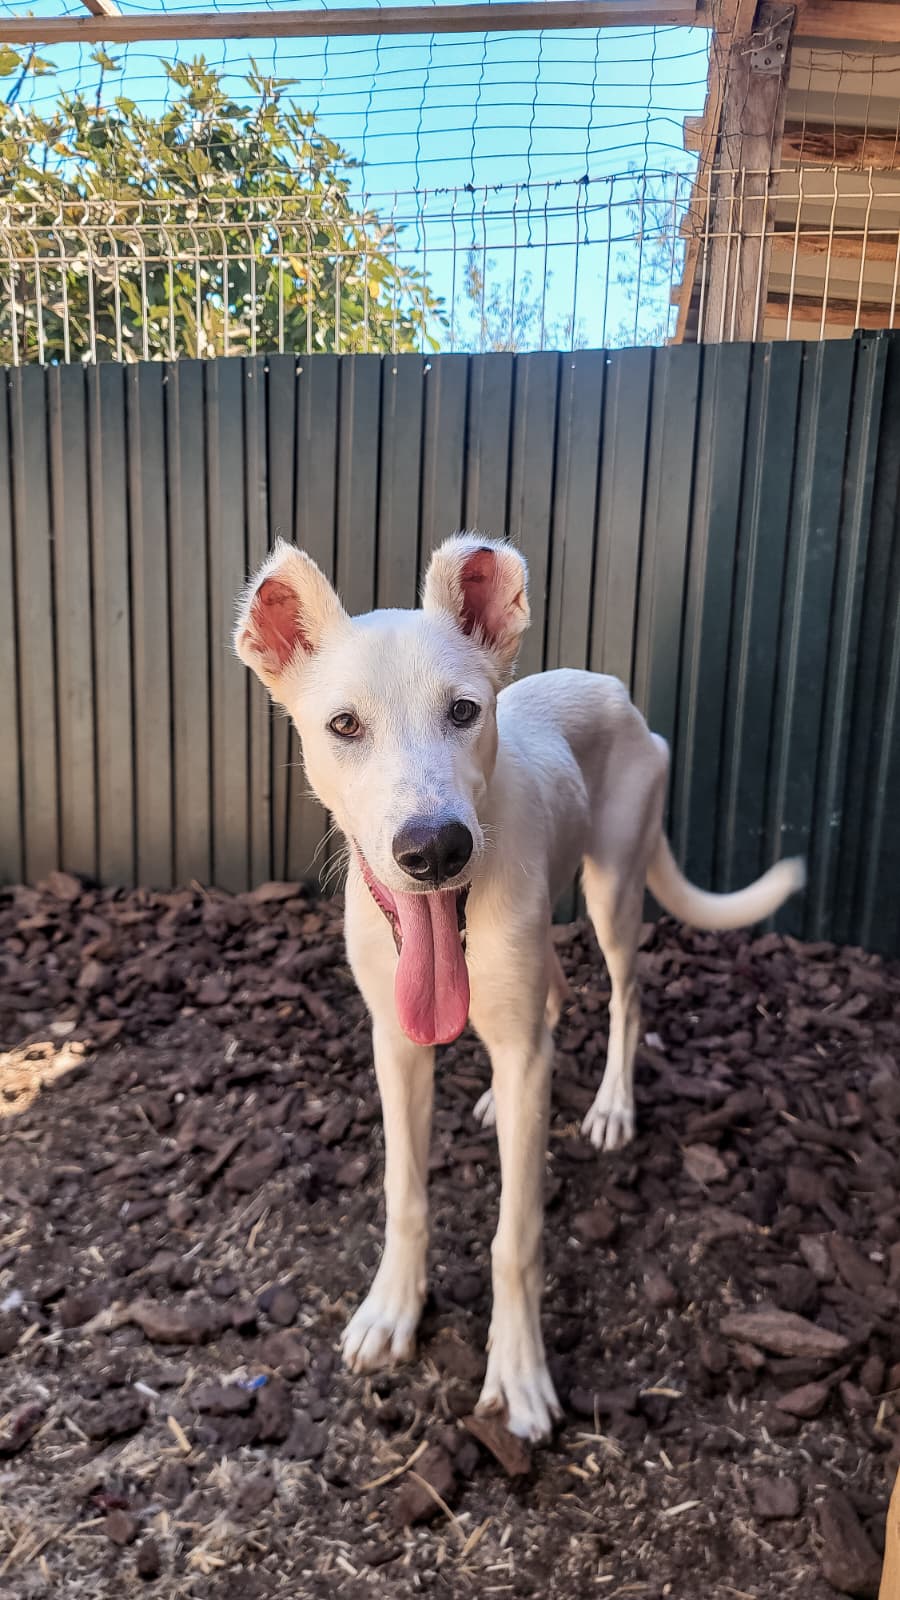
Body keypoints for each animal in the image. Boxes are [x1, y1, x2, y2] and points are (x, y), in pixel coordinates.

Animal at [235, 533, 804, 1440]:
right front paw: (392, 1311)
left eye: (464, 712)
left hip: (615, 889)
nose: (434, 849)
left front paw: (519, 1372)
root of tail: (617, 692)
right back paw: (501, 1101)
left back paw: (610, 1108)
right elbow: (404, 1192)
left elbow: (517, 1237)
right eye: (344, 725)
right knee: (555, 997)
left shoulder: (520, 1049)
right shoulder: (396, 1045)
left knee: (622, 999)